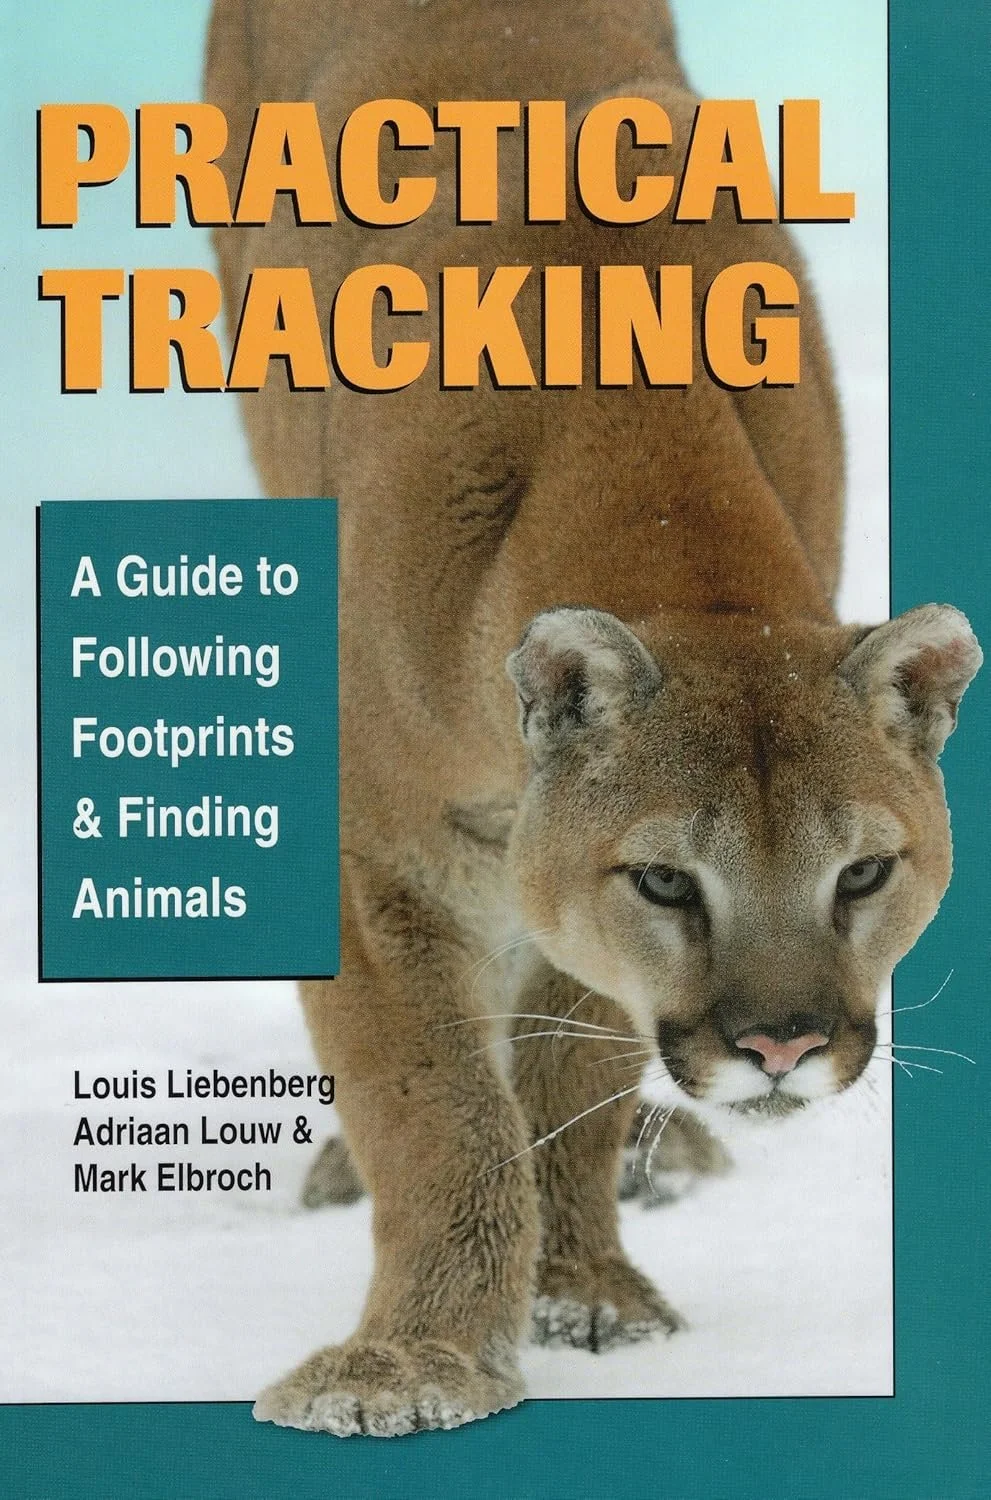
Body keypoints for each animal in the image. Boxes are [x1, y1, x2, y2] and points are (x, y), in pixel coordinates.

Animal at [206, 0, 980, 1436]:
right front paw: (415, 1358)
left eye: (860, 874)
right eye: (668, 882)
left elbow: (569, 1066)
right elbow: (441, 1105)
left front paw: (584, 1294)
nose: (782, 1042)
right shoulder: (378, 860)